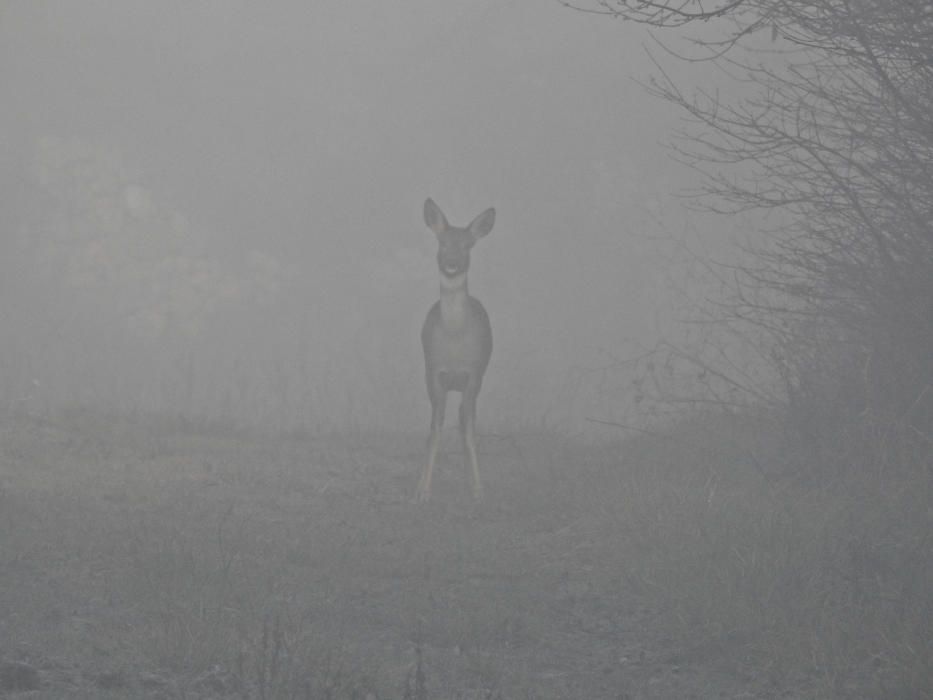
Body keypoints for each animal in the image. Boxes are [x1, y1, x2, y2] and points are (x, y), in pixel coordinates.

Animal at [416, 197, 496, 504]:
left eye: (467, 245)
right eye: (442, 242)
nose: (452, 264)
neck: (454, 339)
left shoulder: (473, 373)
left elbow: (470, 429)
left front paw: (478, 489)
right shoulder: (433, 372)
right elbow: (435, 428)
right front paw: (423, 489)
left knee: (464, 419)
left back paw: (467, 478)